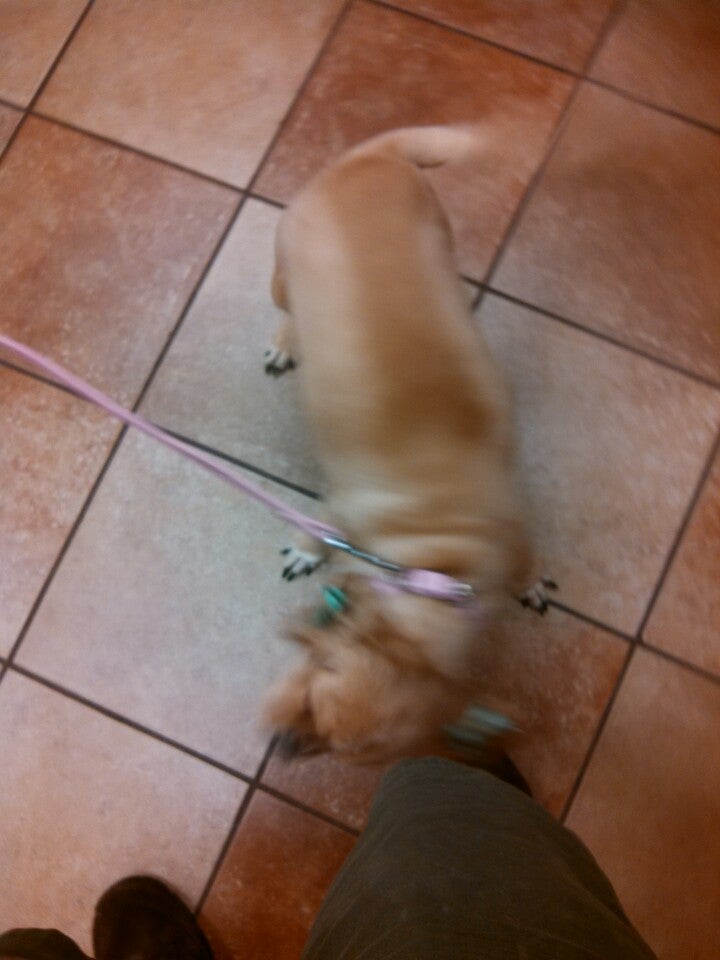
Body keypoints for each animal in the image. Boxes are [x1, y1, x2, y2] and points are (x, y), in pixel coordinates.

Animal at [262, 126, 535, 762]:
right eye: (311, 693)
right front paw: (306, 552)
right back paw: (287, 342)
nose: (279, 747)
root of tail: (377, 153)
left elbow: (526, 561)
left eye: (341, 750)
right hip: (285, 274)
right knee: (285, 309)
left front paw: (531, 584)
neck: (438, 562)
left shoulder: (514, 530)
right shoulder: (339, 507)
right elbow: (317, 530)